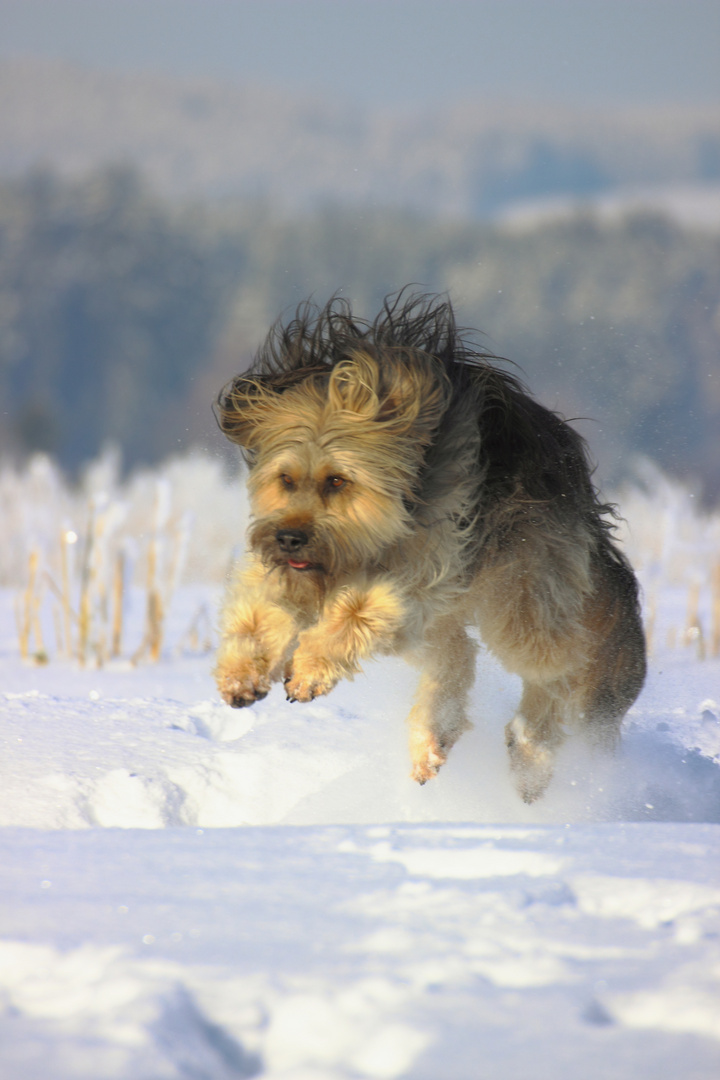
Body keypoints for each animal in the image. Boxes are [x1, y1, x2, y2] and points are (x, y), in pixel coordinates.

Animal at [213, 293, 647, 803]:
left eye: (337, 480)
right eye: (285, 479)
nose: (289, 538)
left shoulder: (423, 570)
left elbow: (358, 609)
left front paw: (310, 670)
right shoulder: (295, 569)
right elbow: (262, 606)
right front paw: (245, 670)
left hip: (524, 591)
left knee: (556, 665)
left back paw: (530, 755)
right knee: (457, 655)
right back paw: (431, 739)